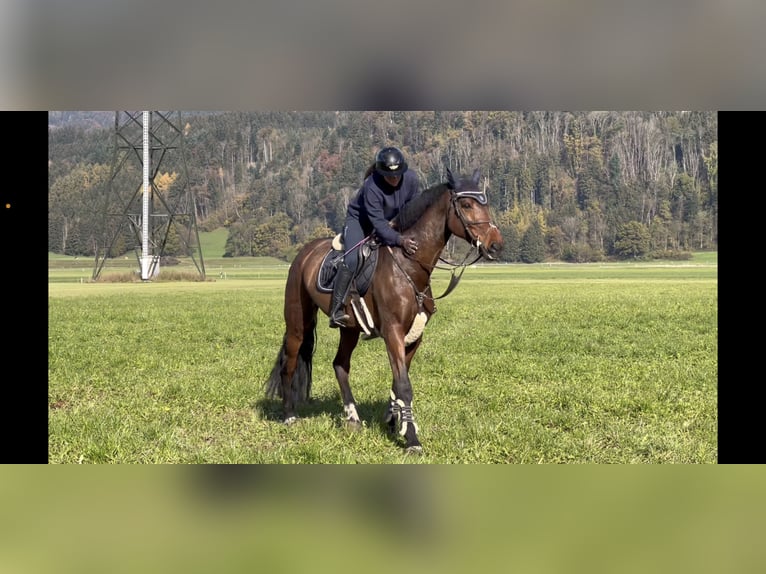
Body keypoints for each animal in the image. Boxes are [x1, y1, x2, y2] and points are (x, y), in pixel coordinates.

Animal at [264, 166, 504, 454]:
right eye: (466, 204)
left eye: (486, 203)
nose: (496, 245)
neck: (409, 265)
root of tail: (304, 253)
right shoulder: (393, 333)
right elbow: (404, 386)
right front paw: (411, 438)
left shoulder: (413, 337)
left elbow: (398, 384)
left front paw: (393, 420)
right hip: (297, 323)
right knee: (288, 364)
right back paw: (289, 415)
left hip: (349, 330)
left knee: (340, 365)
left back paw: (353, 417)